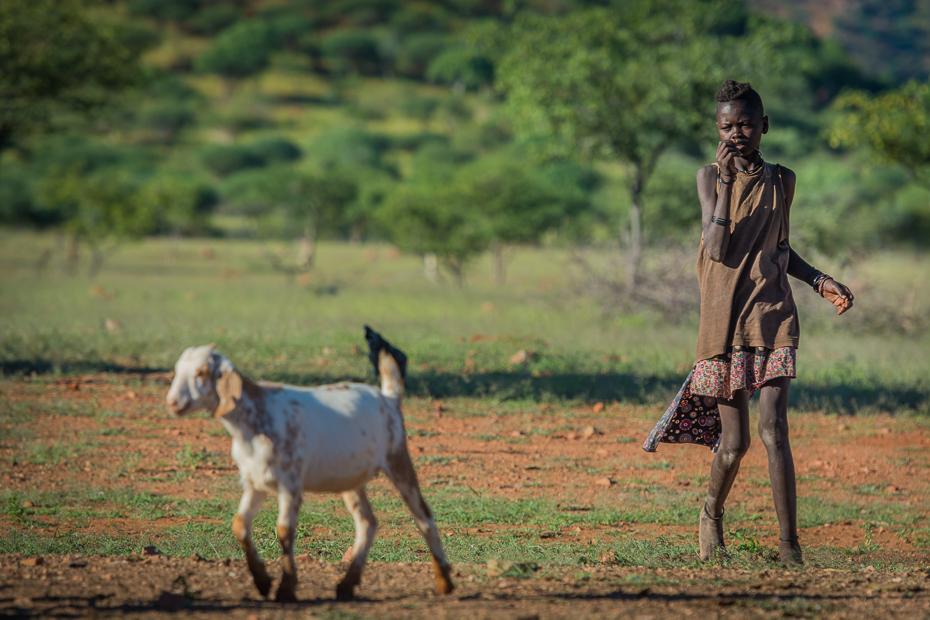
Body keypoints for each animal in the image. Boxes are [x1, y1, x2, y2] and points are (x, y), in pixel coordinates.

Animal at [168, 326, 456, 604]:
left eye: (202, 372)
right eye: (177, 370)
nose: (173, 402)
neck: (253, 419)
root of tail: (388, 397)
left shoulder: (291, 483)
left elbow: (284, 531)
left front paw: (286, 589)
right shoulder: (254, 482)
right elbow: (239, 524)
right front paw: (262, 582)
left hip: (398, 459)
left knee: (423, 516)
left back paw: (444, 581)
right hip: (350, 478)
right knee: (367, 522)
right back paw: (347, 584)